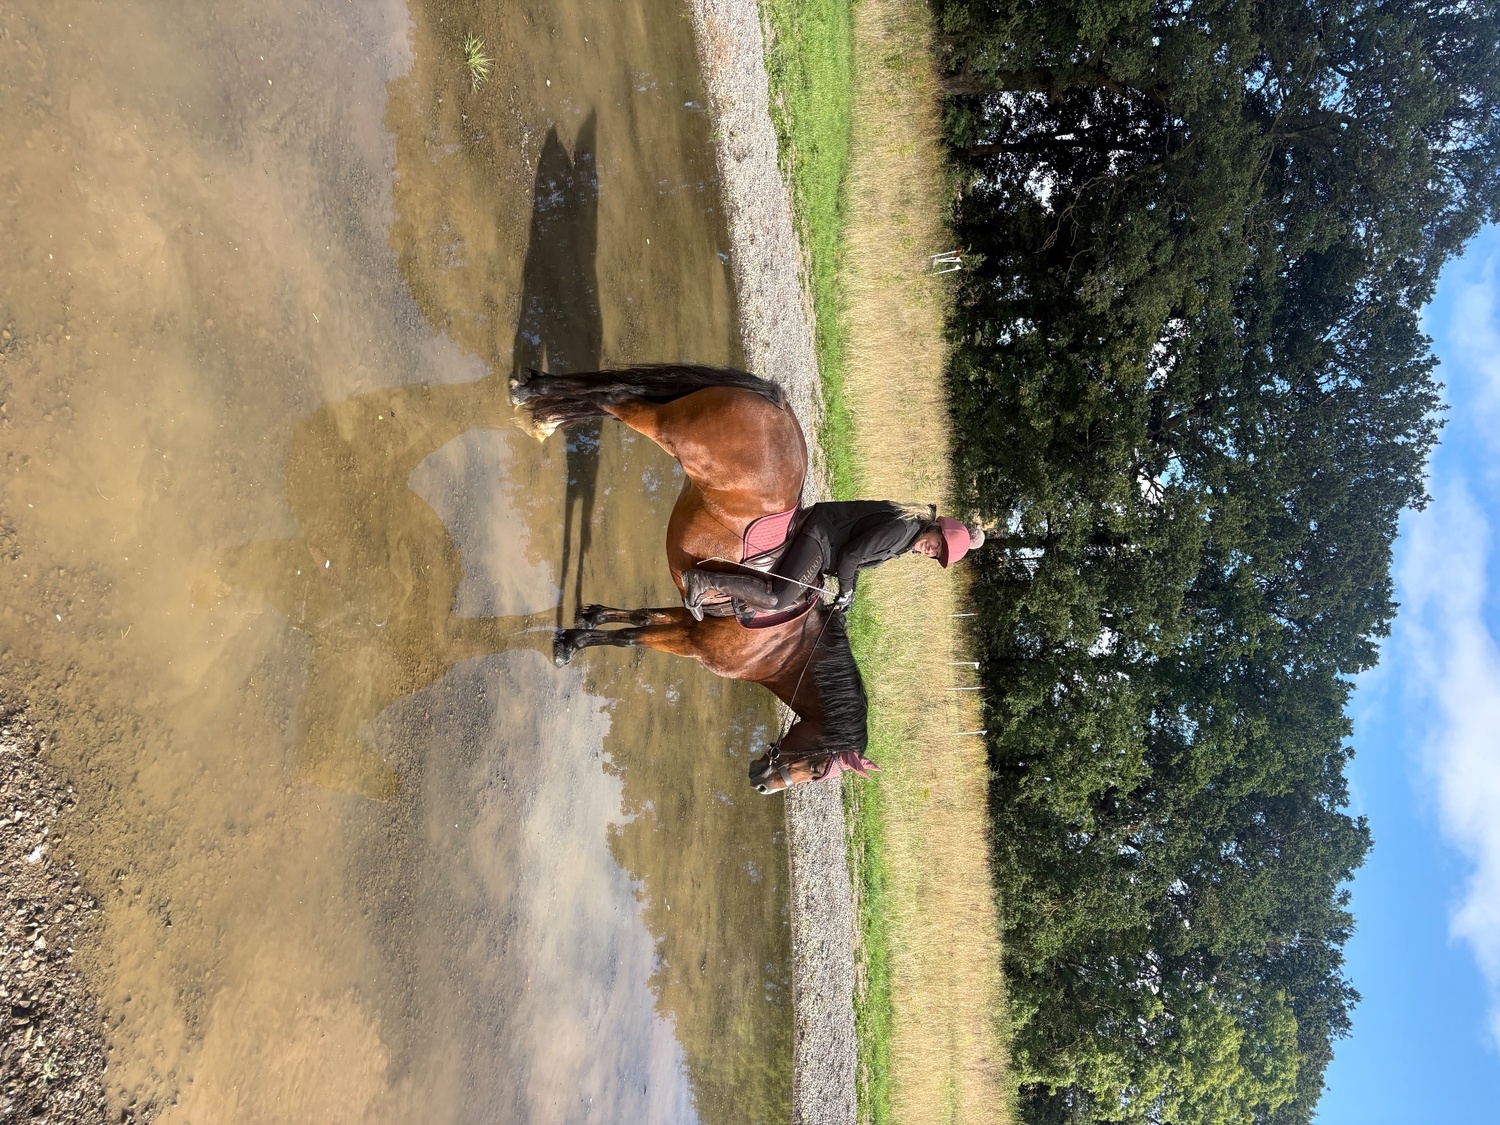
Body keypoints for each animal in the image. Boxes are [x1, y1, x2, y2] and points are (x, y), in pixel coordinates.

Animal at [509, 364, 879, 793]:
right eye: (819, 769)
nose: (761, 784)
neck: (780, 646)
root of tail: (777, 404)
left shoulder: (690, 620)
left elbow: (641, 617)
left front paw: (590, 618)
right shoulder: (692, 643)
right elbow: (629, 638)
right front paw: (571, 643)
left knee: (615, 396)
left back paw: (539, 404)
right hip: (667, 429)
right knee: (615, 397)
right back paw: (536, 402)